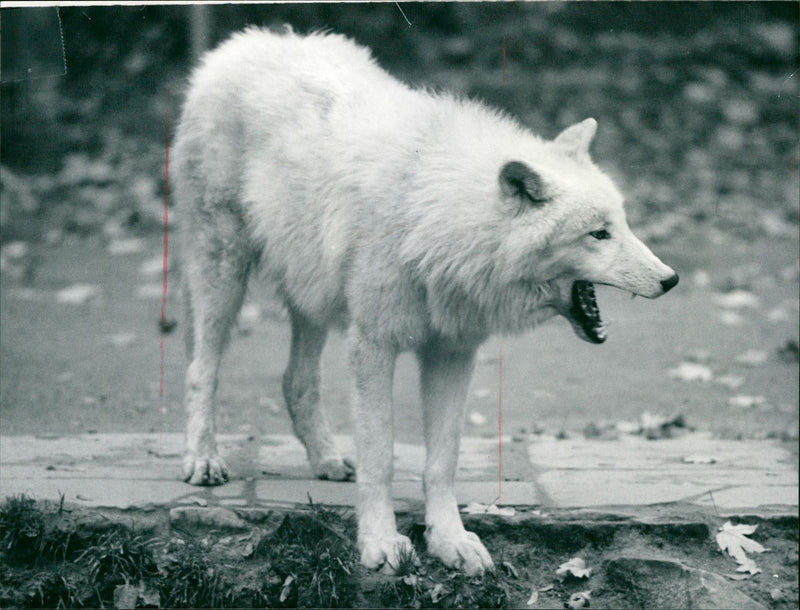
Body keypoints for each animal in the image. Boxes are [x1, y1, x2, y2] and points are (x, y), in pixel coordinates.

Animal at [174, 27, 678, 576]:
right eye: (598, 234)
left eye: (622, 224)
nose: (671, 279)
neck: (436, 215)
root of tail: (243, 43)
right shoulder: (373, 346)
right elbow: (381, 457)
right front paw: (379, 543)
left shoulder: (452, 353)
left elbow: (442, 461)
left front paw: (450, 541)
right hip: (223, 271)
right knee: (201, 370)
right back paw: (203, 460)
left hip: (312, 295)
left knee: (296, 381)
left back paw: (326, 460)